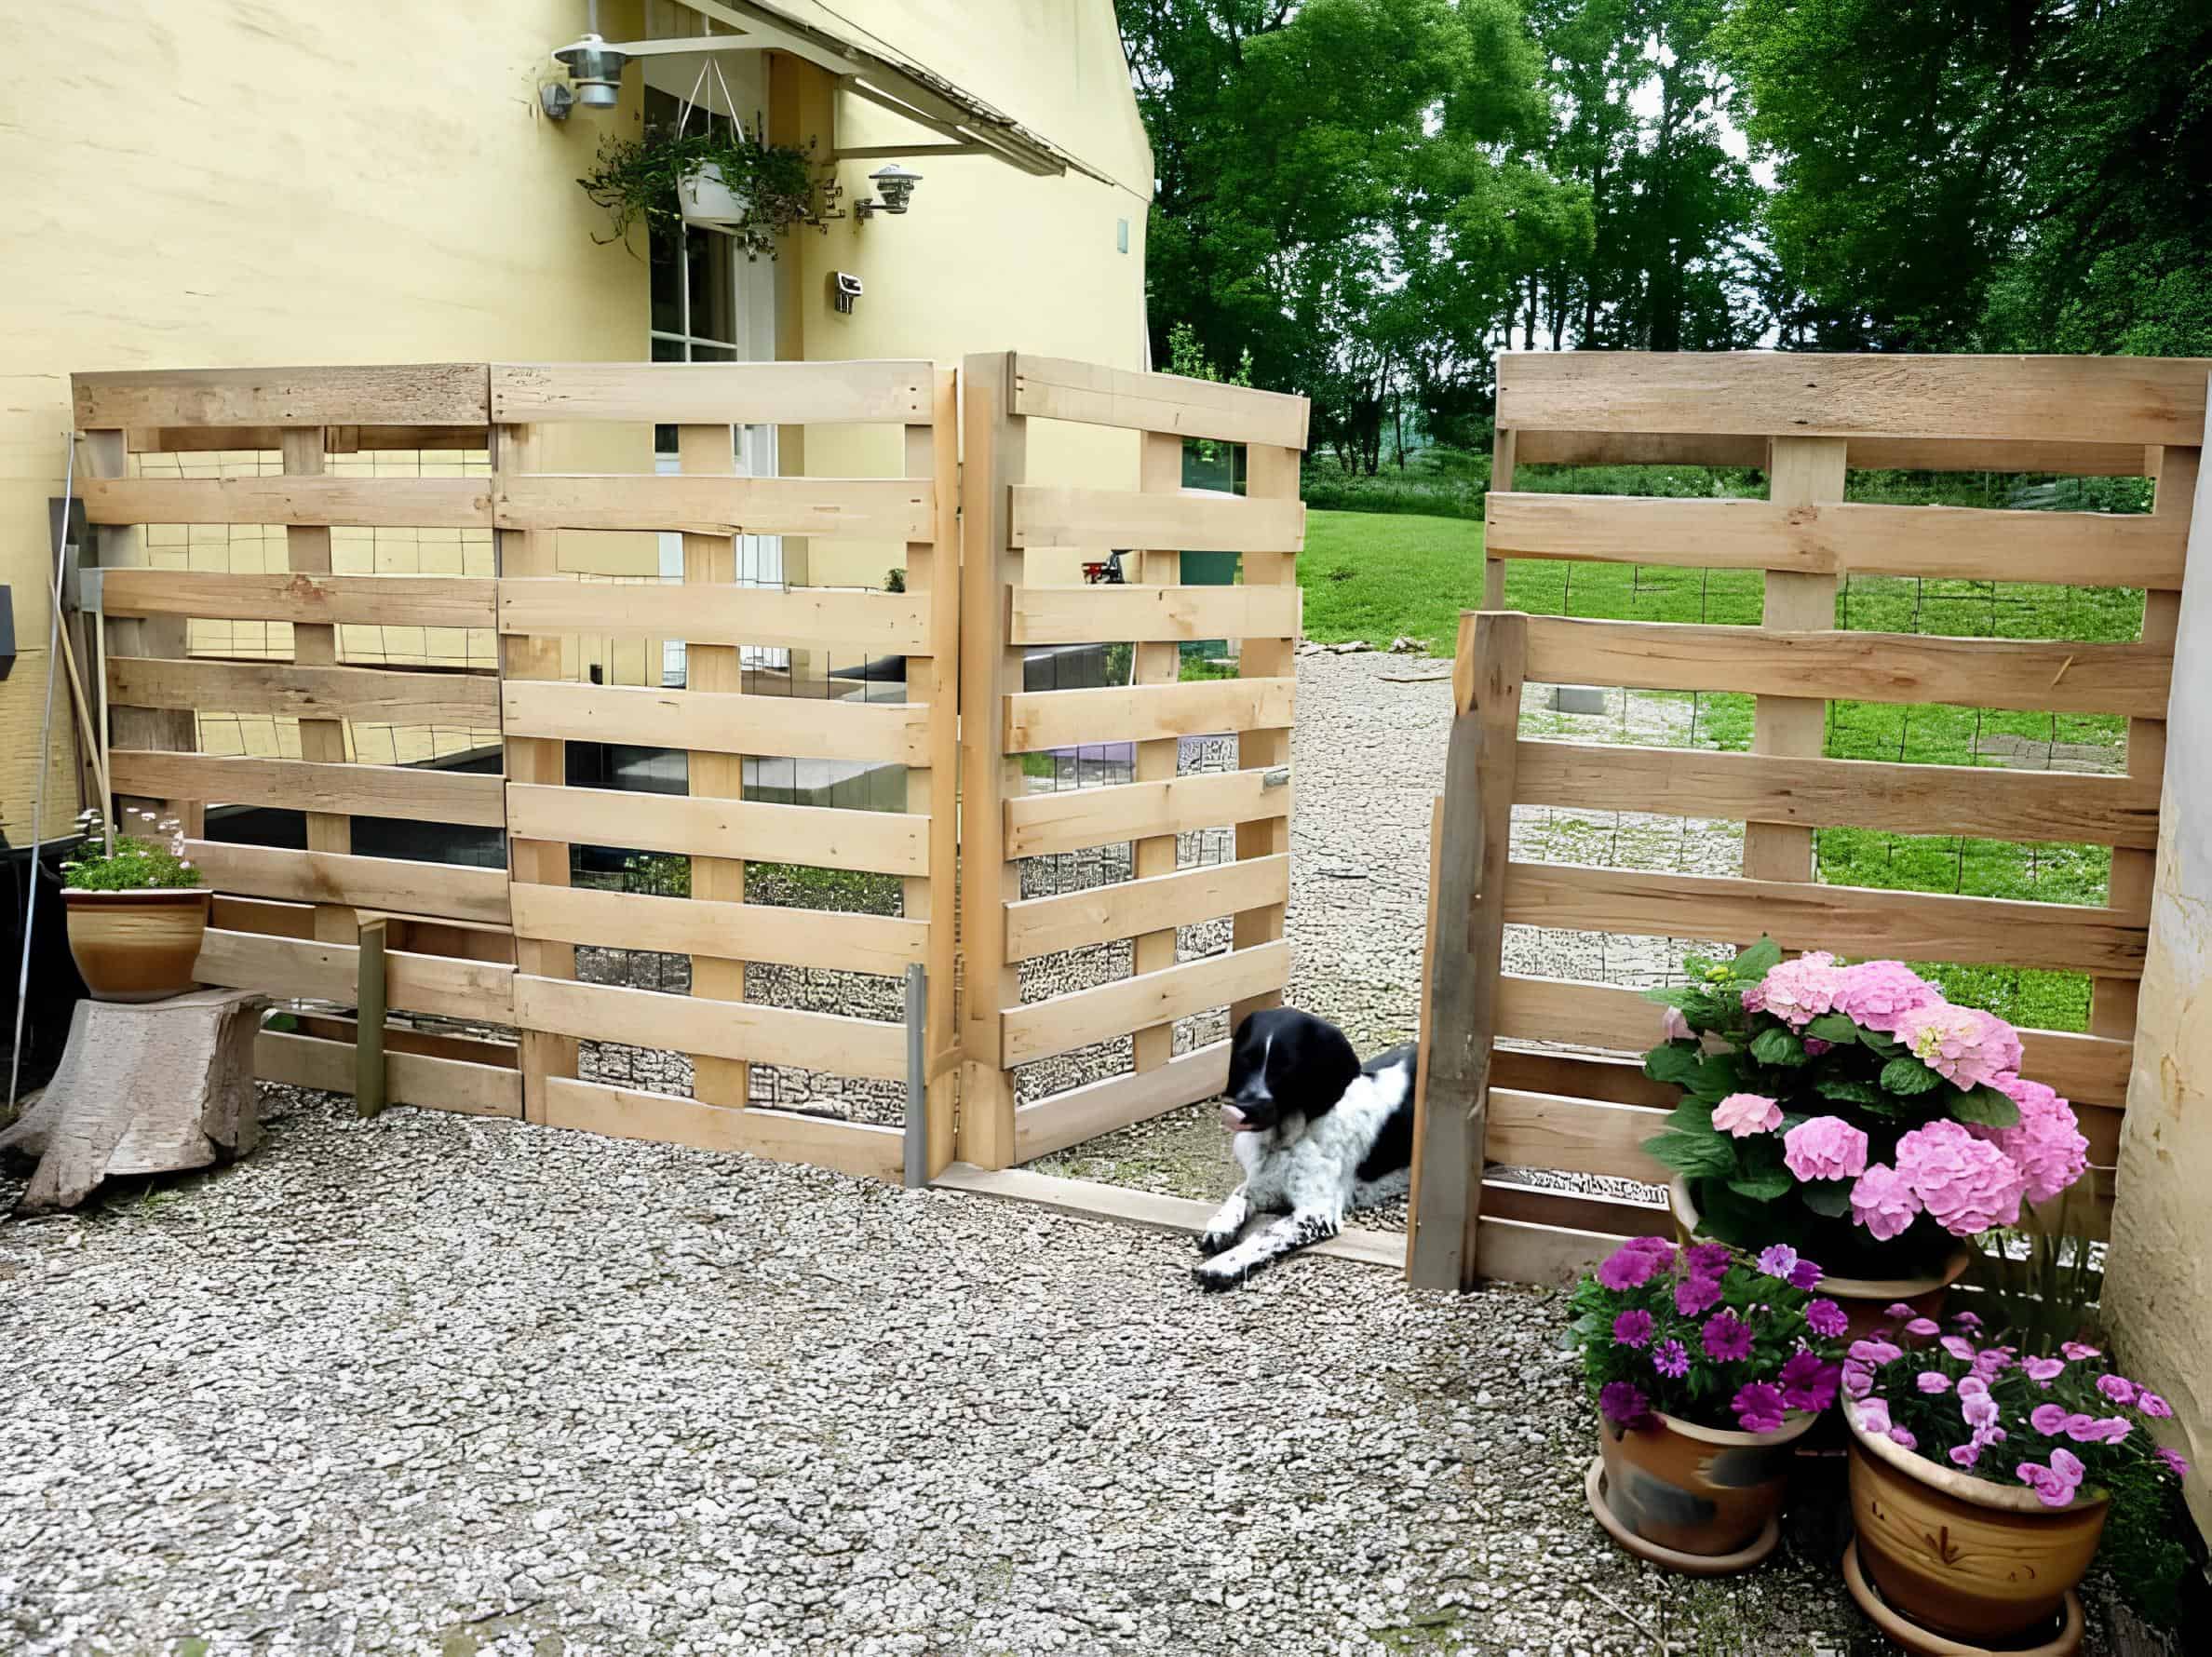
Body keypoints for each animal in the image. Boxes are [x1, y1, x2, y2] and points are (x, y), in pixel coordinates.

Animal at [1190, 1008, 1417, 1291]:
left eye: (1286, 1066)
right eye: (1245, 1058)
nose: (1245, 1107)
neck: (1287, 1140)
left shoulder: (1315, 1213)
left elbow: (1267, 1233)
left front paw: (1224, 1264)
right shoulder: (1263, 1184)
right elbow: (1238, 1196)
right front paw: (1220, 1225)